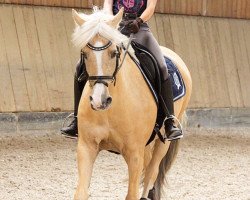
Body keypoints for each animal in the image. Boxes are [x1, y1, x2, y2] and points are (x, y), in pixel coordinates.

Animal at [71, 7, 192, 200]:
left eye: (113, 53)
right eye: (85, 54)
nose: (99, 100)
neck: (110, 111)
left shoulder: (134, 154)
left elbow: (132, 193)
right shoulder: (86, 147)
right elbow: (81, 192)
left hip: (164, 140)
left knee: (152, 172)